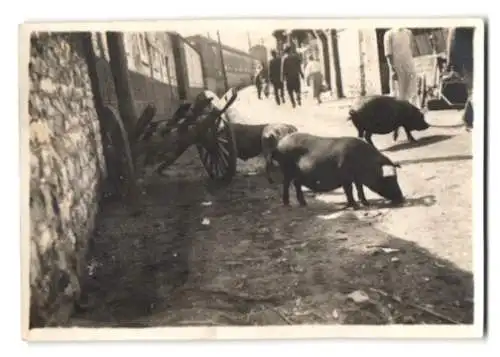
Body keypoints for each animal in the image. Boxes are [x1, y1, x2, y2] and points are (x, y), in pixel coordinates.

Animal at [272, 132, 404, 207]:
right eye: (388, 179)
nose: (402, 198)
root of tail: (279, 144)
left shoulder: (357, 179)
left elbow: (359, 189)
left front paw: (366, 203)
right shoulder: (345, 176)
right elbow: (349, 190)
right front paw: (354, 206)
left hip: (297, 174)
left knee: (296, 184)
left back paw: (303, 204)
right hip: (287, 169)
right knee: (286, 184)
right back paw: (287, 203)